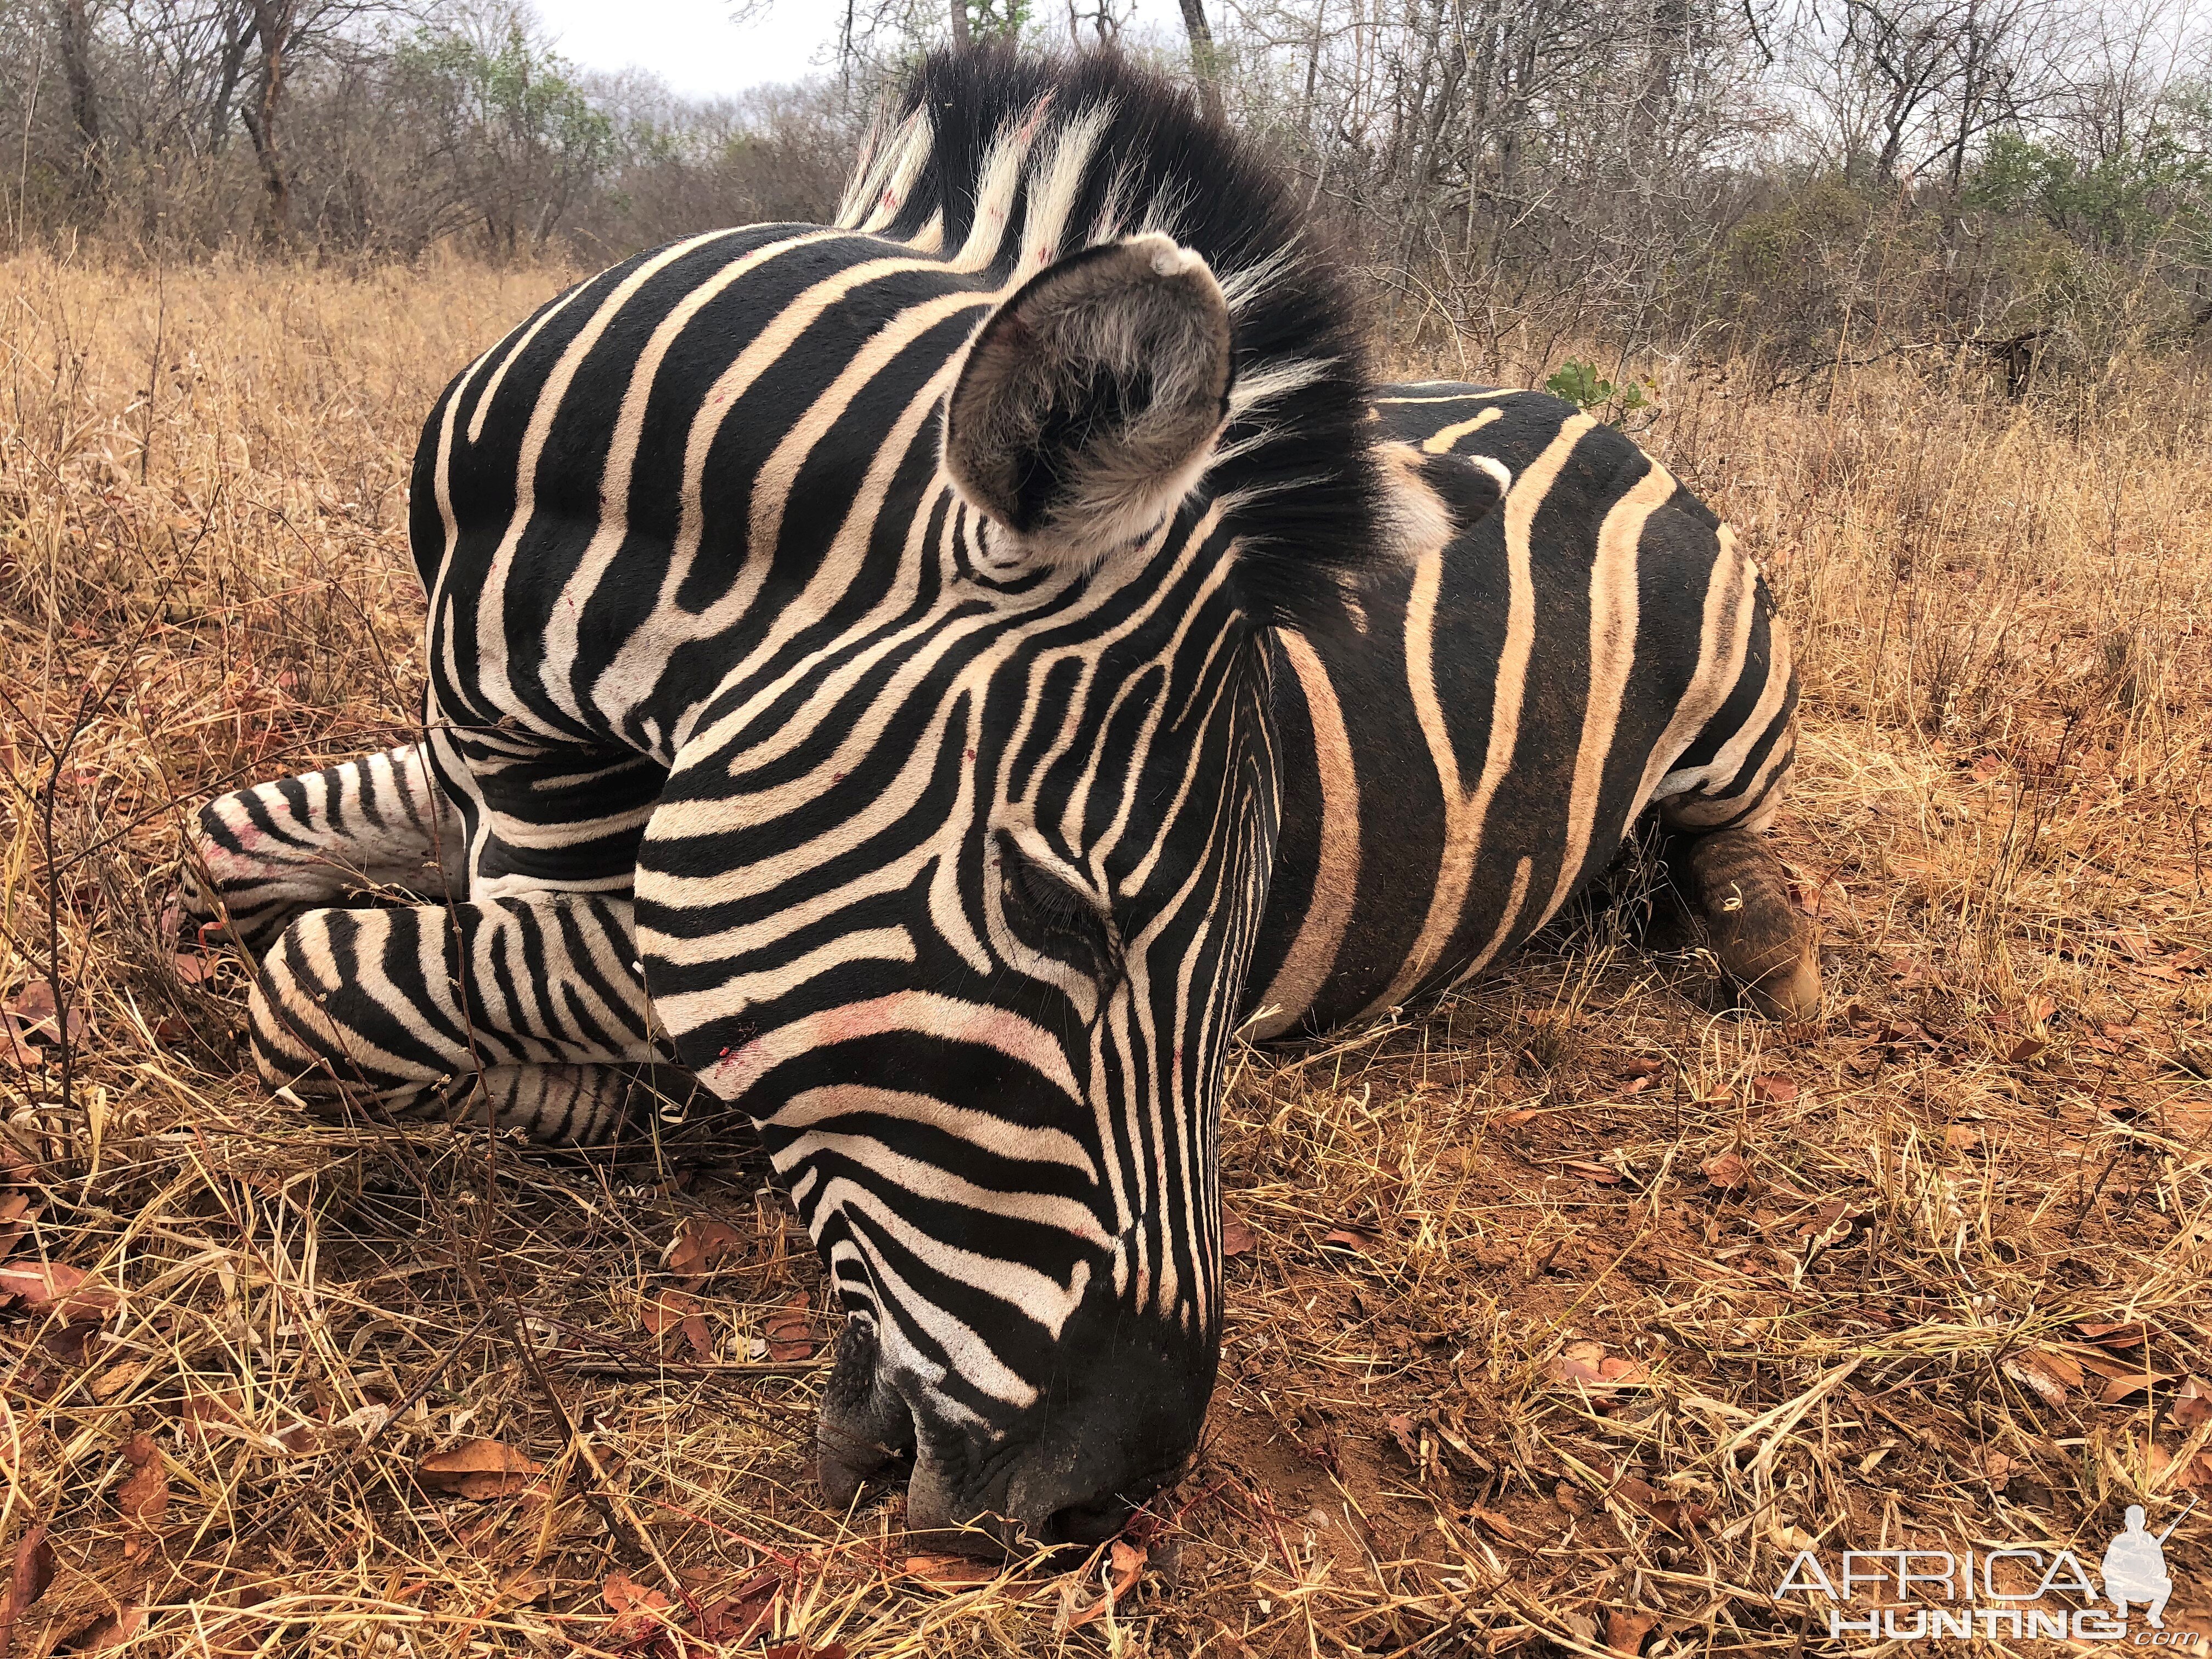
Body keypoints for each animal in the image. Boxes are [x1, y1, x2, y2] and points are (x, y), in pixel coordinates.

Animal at [185, 52, 1814, 1557]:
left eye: (1236, 944)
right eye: (1054, 909)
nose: (1106, 1489)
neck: (527, 698)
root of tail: (1588, 419)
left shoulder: (656, 918)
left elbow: (329, 982)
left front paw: (575, 1093)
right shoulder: (479, 792)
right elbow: (239, 854)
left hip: (1743, 704)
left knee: (1737, 850)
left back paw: (1747, 937)